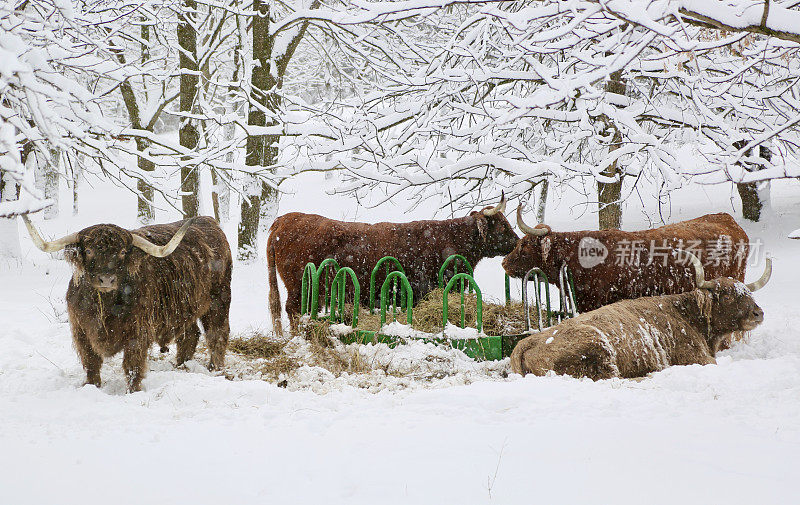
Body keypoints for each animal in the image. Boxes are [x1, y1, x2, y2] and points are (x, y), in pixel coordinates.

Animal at [21, 215, 233, 392]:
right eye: (88, 250)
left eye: (123, 252)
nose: (106, 279)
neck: (105, 306)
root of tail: (209, 221)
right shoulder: (81, 330)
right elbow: (91, 362)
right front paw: (91, 386)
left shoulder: (138, 332)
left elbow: (133, 365)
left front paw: (133, 391)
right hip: (185, 308)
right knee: (190, 335)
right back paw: (181, 365)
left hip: (219, 299)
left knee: (217, 334)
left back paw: (215, 369)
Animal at [268, 196, 520, 334]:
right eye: (502, 226)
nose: (518, 243)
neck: (451, 239)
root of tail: (284, 219)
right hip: (297, 287)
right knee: (291, 310)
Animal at [512, 252, 768, 378]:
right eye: (727, 295)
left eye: (747, 292)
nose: (758, 313)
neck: (687, 315)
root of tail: (524, 344)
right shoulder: (698, 358)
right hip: (600, 351)